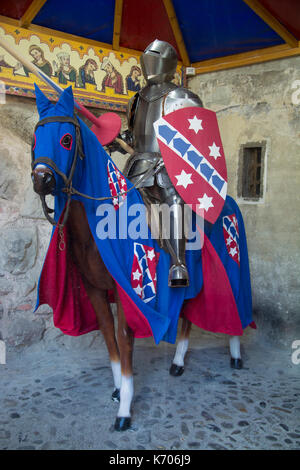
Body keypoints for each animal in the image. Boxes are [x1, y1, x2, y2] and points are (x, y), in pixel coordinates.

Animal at [31, 83, 255, 430]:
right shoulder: (94, 289)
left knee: (234, 306)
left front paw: (125, 407)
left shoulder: (130, 292)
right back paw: (178, 362)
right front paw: (117, 389)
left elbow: (125, 339)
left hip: (231, 266)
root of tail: (228, 203)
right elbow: (108, 337)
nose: (41, 179)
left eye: (66, 139)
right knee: (188, 317)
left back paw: (234, 353)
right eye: (35, 138)